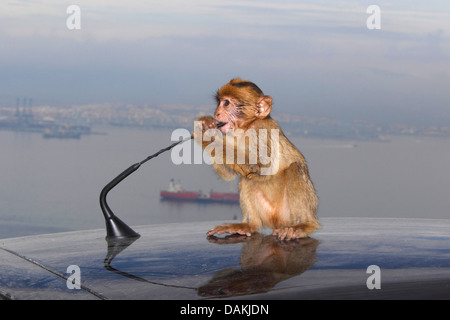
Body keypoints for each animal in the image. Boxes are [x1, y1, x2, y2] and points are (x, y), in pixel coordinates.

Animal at [194, 78, 320, 240]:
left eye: (226, 103)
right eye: (219, 102)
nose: (217, 113)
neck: (246, 127)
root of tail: (277, 221)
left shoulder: (261, 130)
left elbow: (260, 166)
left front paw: (206, 133)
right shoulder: (229, 135)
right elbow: (229, 174)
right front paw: (204, 124)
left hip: (287, 214)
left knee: (295, 169)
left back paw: (304, 225)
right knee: (247, 177)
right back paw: (248, 225)